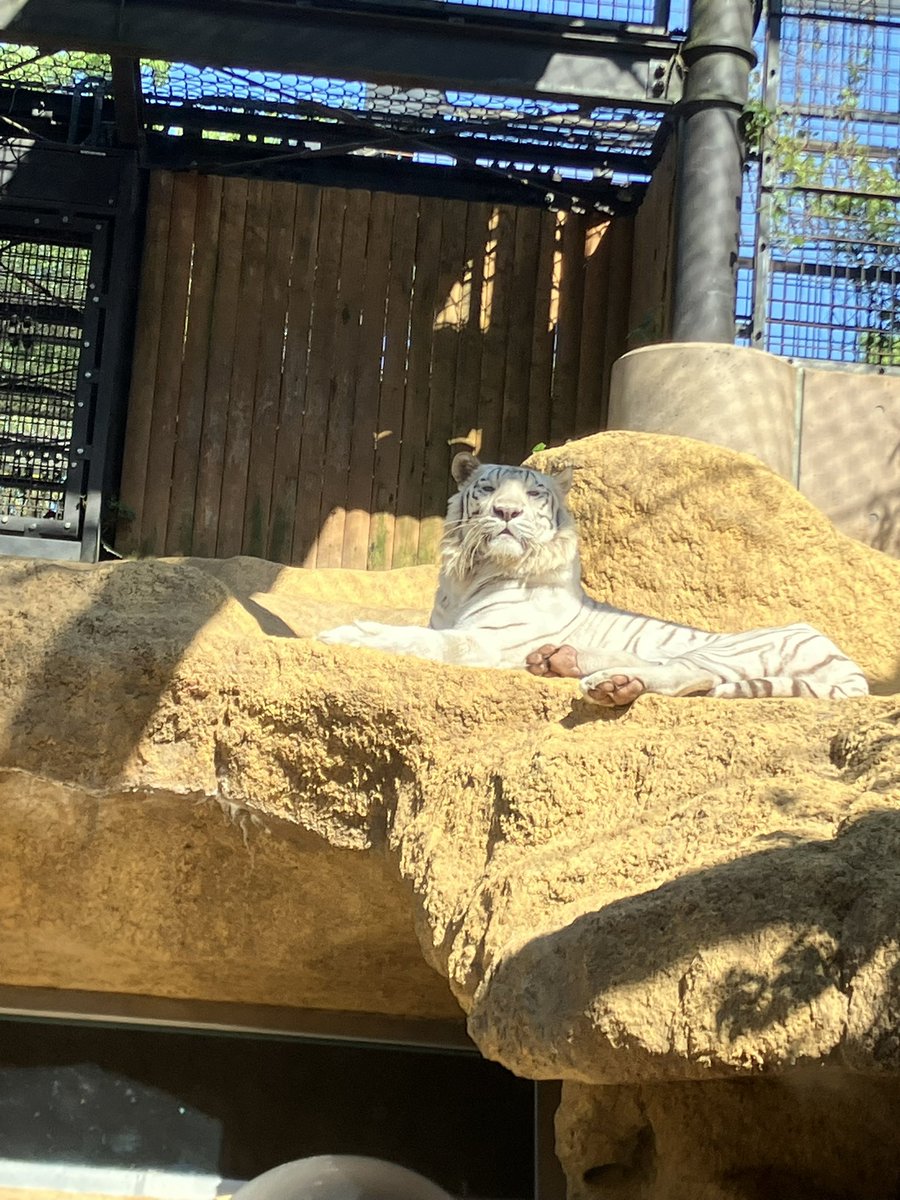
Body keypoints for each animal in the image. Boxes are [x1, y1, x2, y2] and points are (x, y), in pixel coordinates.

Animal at [318, 452, 869, 705]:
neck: (471, 573)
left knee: (689, 673)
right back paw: (564, 662)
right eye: (489, 488)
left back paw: (607, 683)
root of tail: (843, 658)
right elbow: (422, 632)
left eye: (533, 494)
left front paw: (346, 633)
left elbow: (419, 640)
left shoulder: (484, 640)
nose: (506, 512)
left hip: (731, 646)